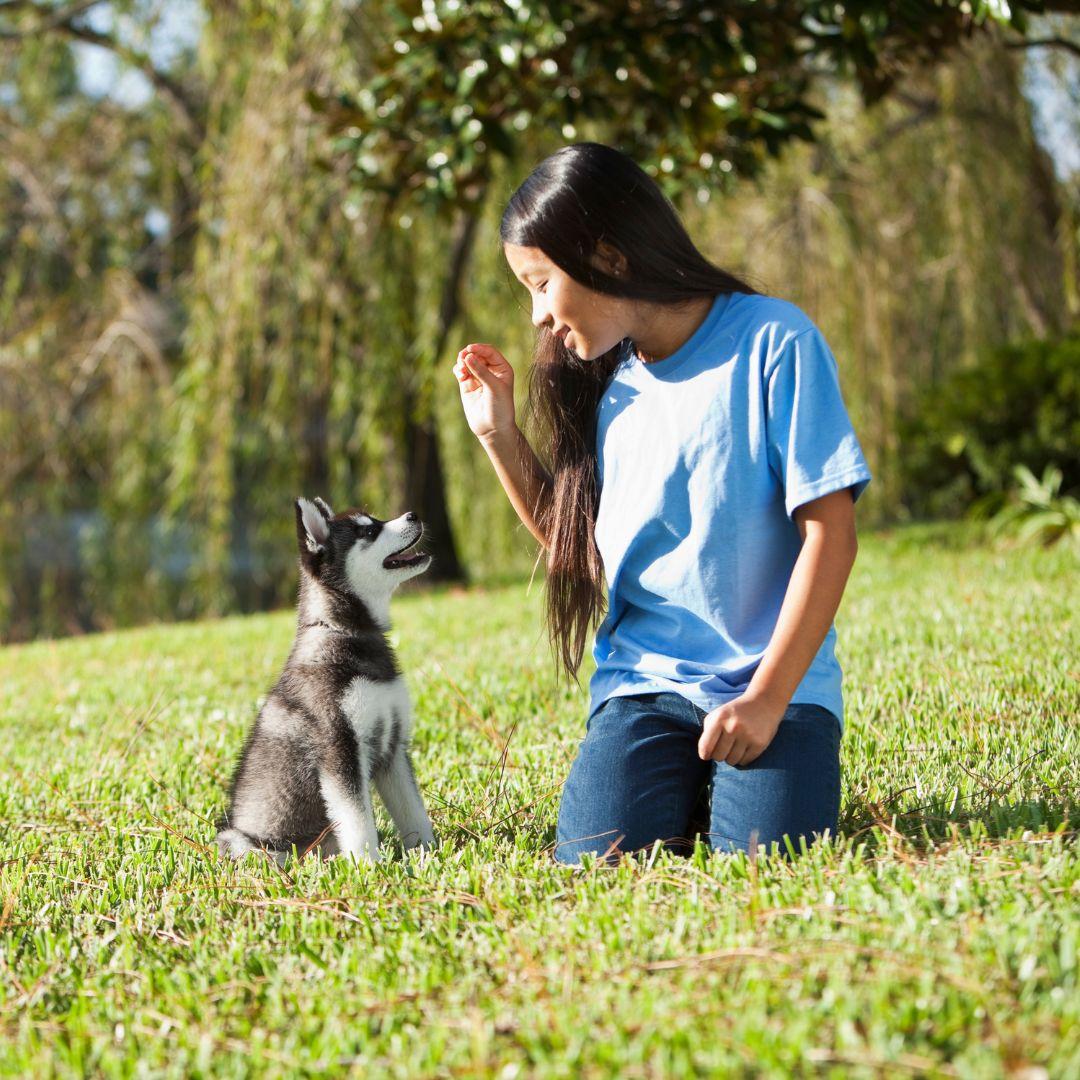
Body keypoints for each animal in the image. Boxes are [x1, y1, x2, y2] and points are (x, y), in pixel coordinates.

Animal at [217, 494, 436, 864]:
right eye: (369, 531)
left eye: (375, 520)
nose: (414, 514)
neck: (345, 633)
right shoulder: (339, 749)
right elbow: (358, 819)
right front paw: (370, 866)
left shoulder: (393, 747)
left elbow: (413, 811)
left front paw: (427, 852)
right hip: (245, 842)